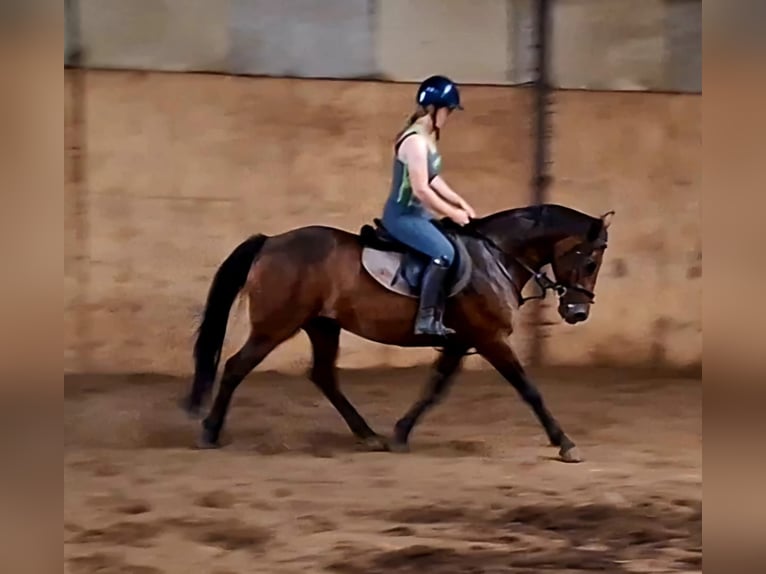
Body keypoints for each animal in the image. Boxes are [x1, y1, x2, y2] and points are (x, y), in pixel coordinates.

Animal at [178, 205, 612, 466]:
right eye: (590, 262)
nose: (577, 312)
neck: (495, 257)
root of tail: (270, 242)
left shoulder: (461, 341)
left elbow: (434, 388)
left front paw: (400, 434)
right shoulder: (490, 338)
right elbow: (528, 390)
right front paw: (565, 443)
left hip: (322, 325)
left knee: (324, 376)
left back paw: (368, 435)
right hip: (277, 325)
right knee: (237, 367)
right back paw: (210, 432)